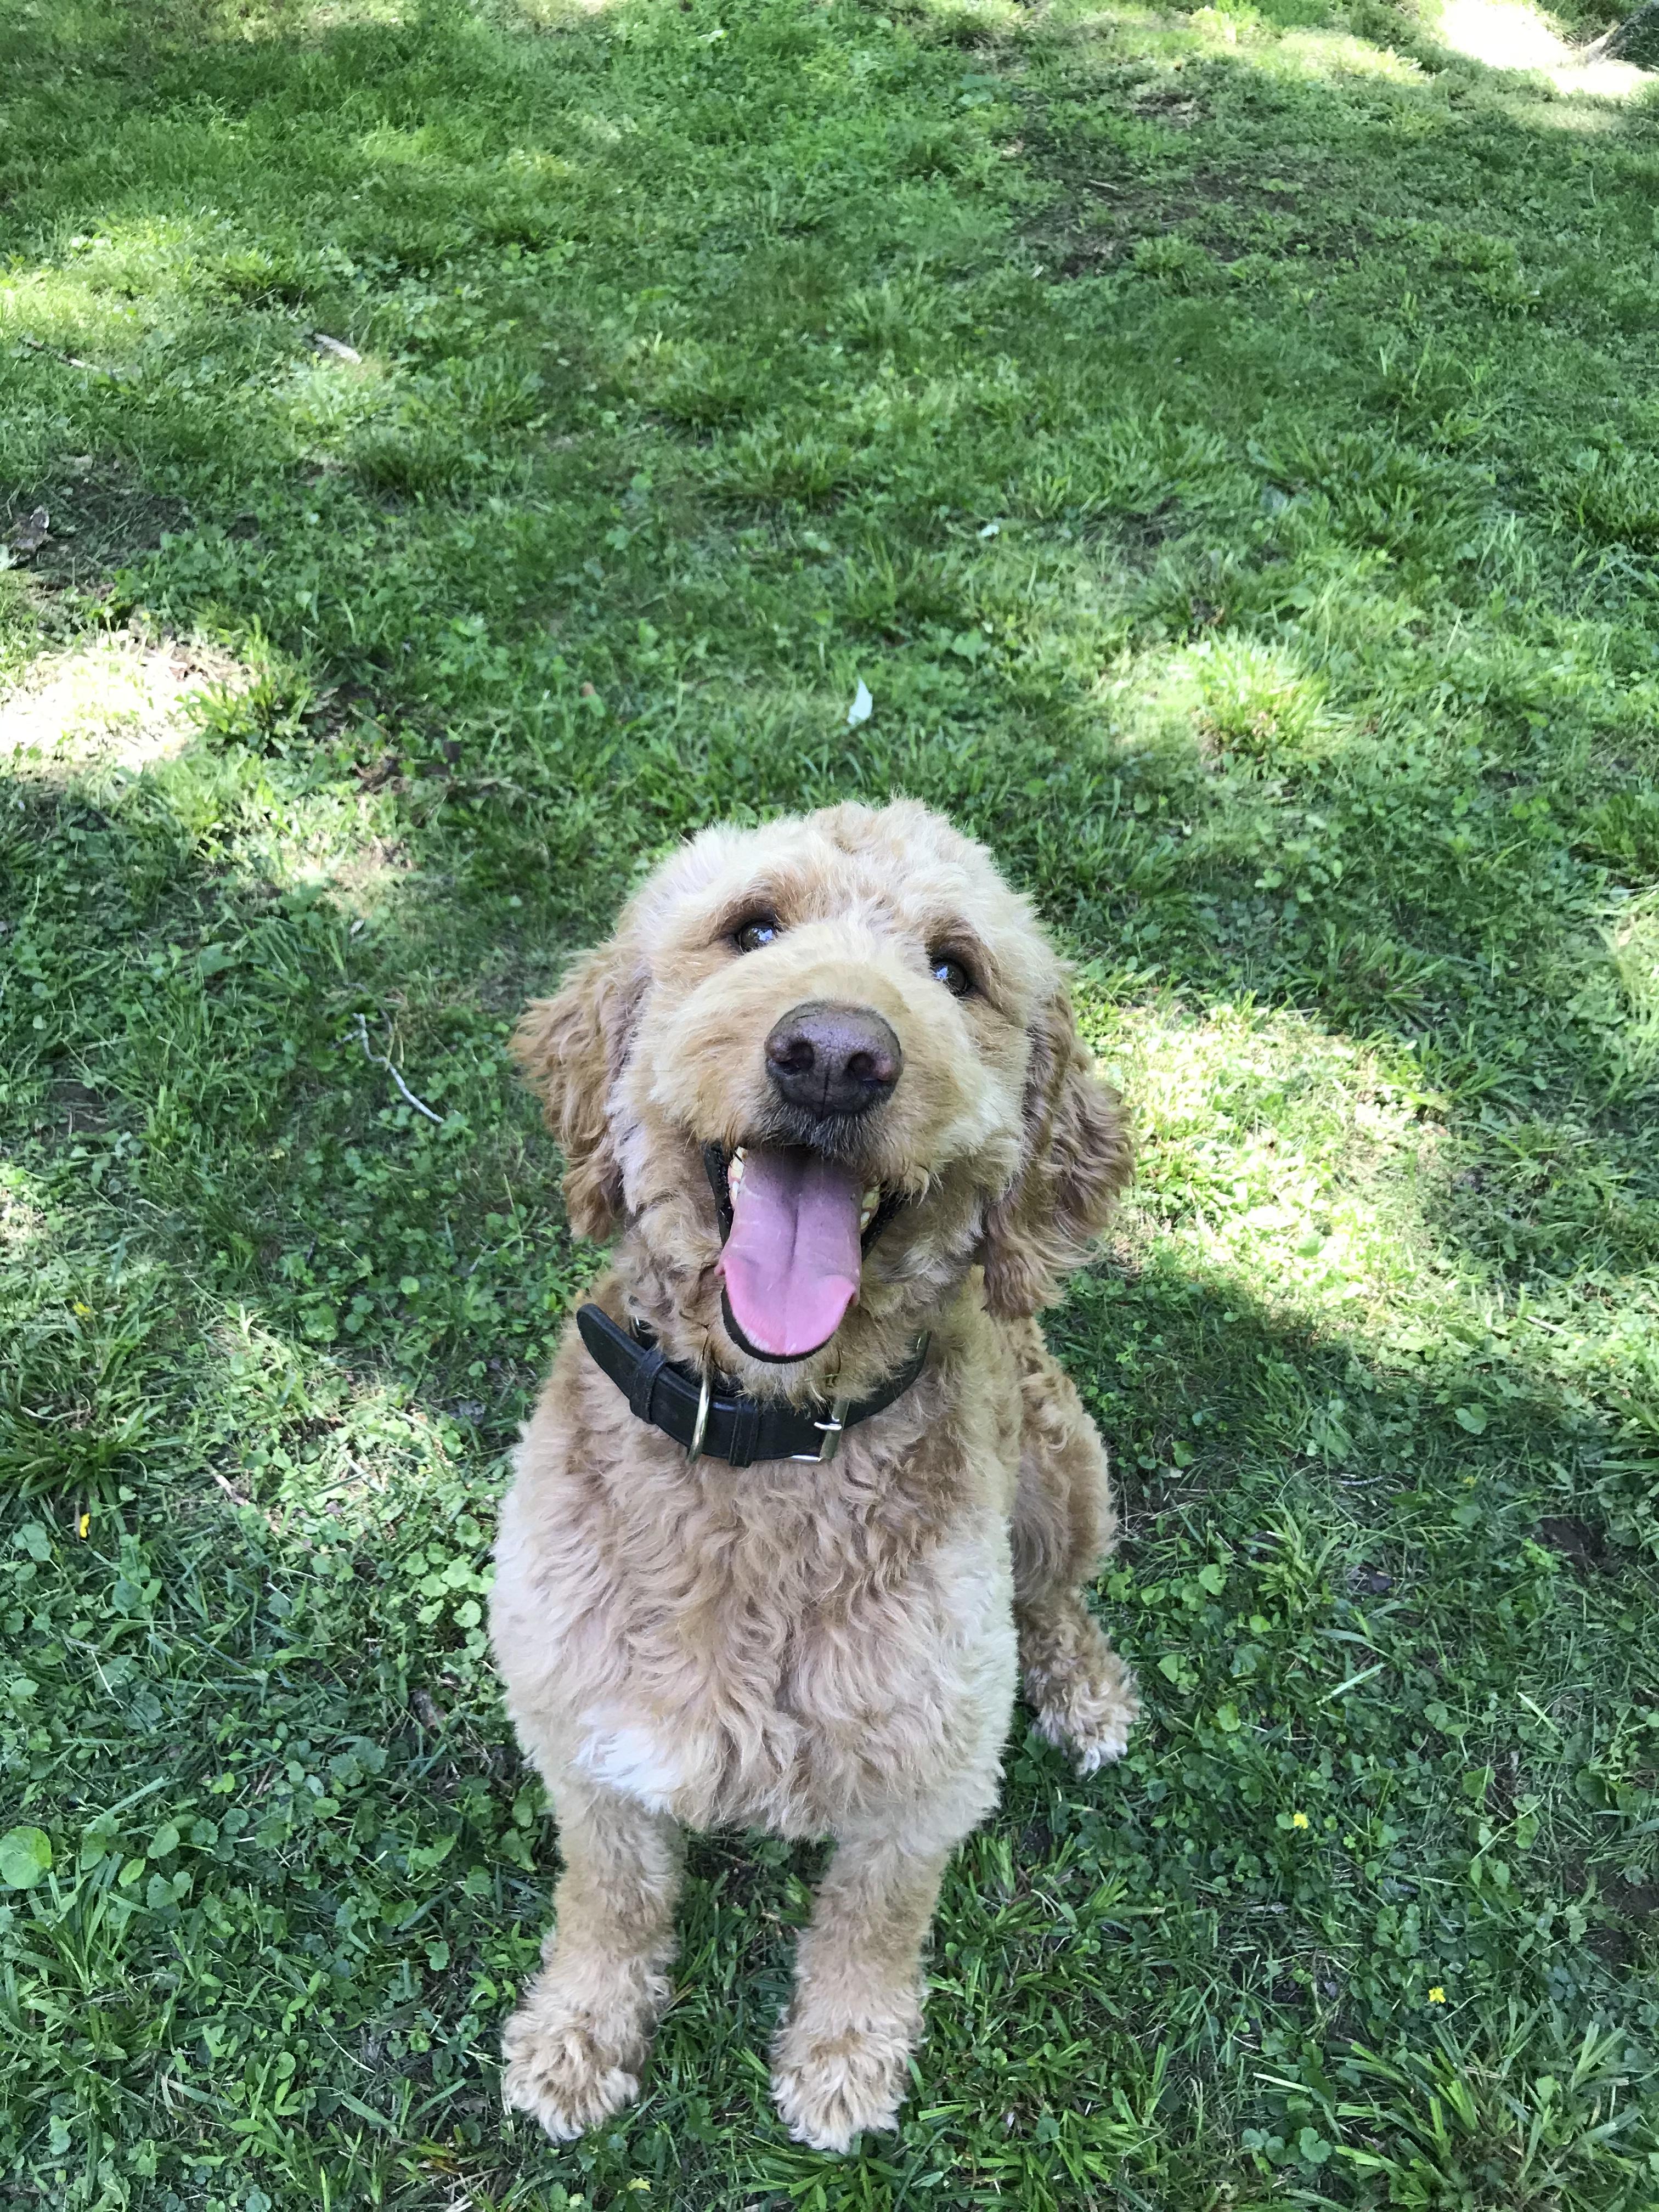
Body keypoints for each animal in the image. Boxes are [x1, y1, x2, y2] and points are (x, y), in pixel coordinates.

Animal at [489, 798, 1138, 2154]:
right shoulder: (585, 1740)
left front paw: (845, 2060)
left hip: (1063, 1469)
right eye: (752, 929)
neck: (765, 1447)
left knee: (1058, 1595)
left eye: (954, 968)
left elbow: (874, 1922)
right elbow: (608, 1898)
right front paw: (576, 2036)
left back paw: (1088, 1690)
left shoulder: (930, 1770)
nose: (835, 1056)